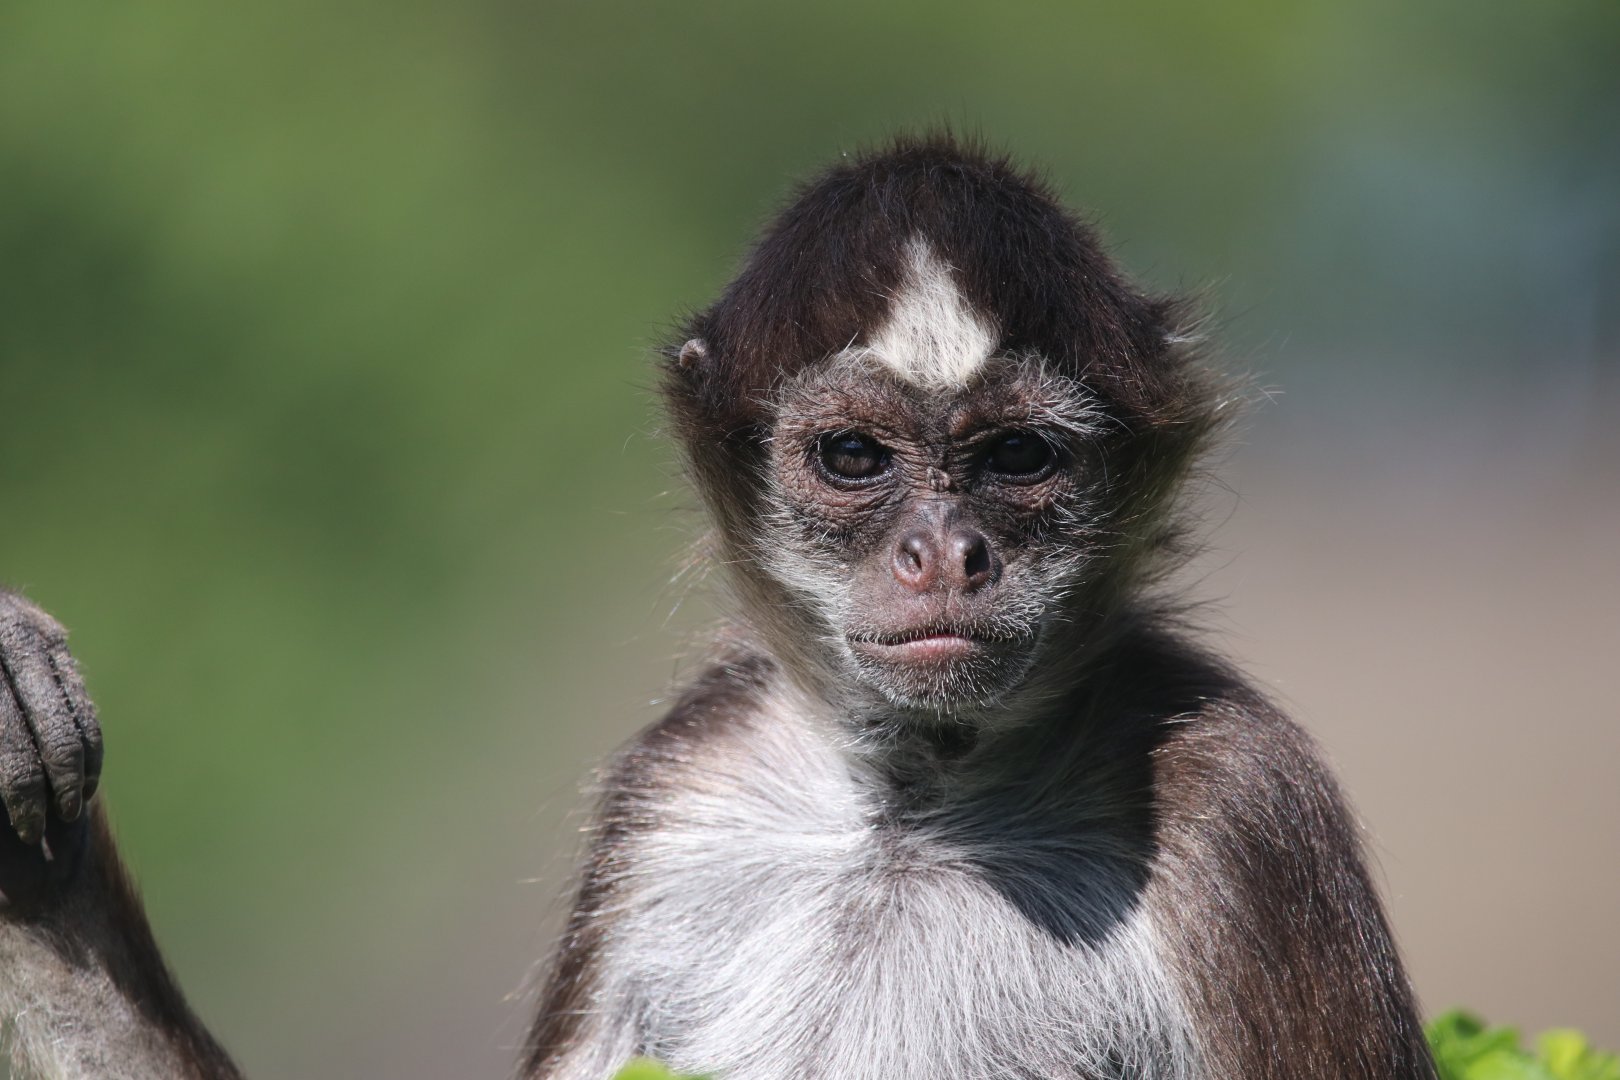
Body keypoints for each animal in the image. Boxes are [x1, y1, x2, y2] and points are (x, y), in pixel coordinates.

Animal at [0, 134, 1436, 1080]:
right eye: (854, 458)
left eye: (1018, 459)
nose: (946, 552)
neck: (910, 818)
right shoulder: (683, 773)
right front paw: (30, 848)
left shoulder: (1242, 814)